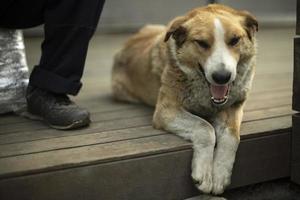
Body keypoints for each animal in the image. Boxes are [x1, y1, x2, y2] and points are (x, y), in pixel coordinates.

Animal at [111, 4, 256, 195]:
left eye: (234, 40)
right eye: (202, 43)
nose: (222, 77)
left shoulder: (234, 107)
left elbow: (232, 137)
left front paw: (220, 175)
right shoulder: (166, 111)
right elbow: (205, 128)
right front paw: (204, 174)